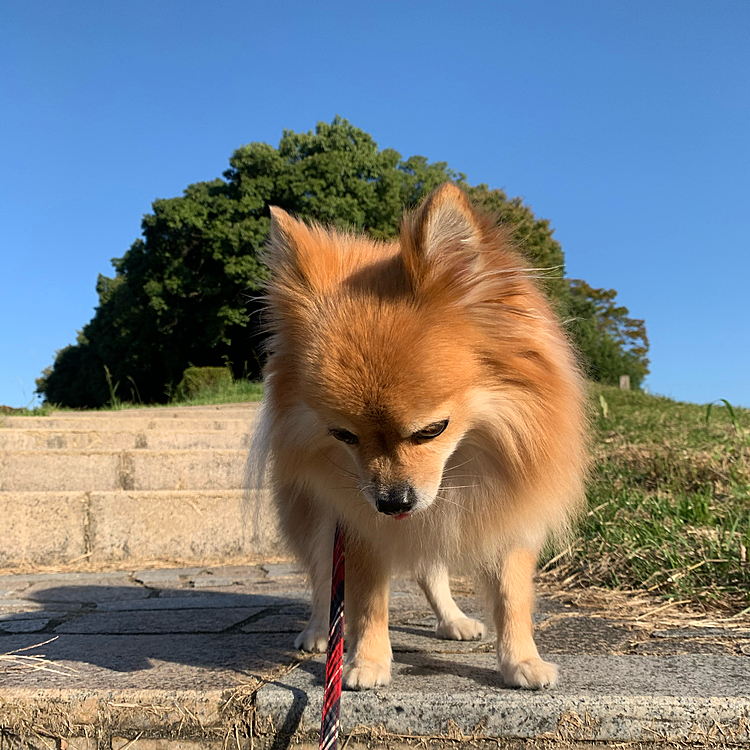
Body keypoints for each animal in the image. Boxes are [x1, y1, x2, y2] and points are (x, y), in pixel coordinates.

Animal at [251, 184, 588, 692]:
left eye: (432, 430)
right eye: (342, 435)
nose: (393, 503)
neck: (466, 457)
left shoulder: (508, 513)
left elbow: (512, 596)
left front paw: (521, 660)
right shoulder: (358, 526)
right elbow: (367, 601)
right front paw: (366, 662)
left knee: (431, 570)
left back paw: (453, 620)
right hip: (313, 518)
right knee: (321, 578)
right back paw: (318, 633)